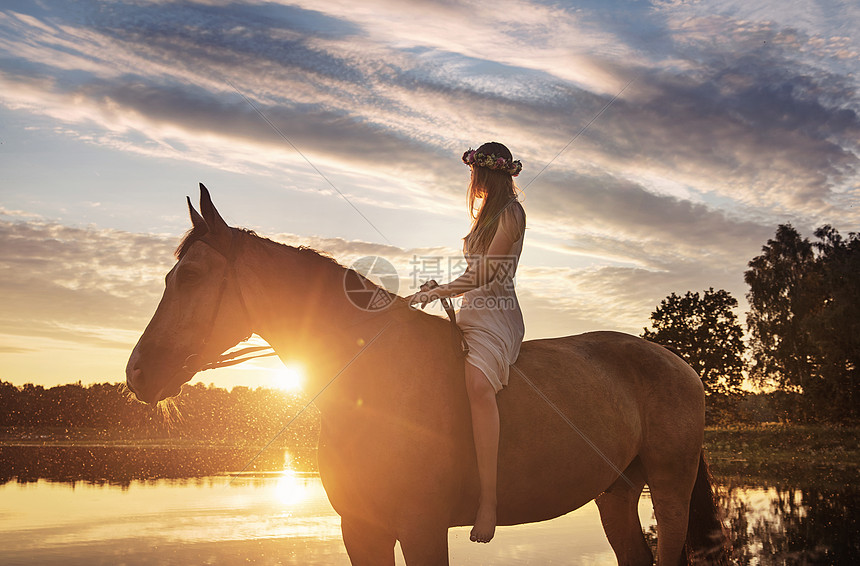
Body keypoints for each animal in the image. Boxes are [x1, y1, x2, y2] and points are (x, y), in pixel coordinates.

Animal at [129, 185, 732, 564]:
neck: (375, 387)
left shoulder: (422, 529)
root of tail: (677, 363)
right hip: (616, 493)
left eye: (193, 276)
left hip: (670, 490)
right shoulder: (361, 531)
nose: (138, 374)